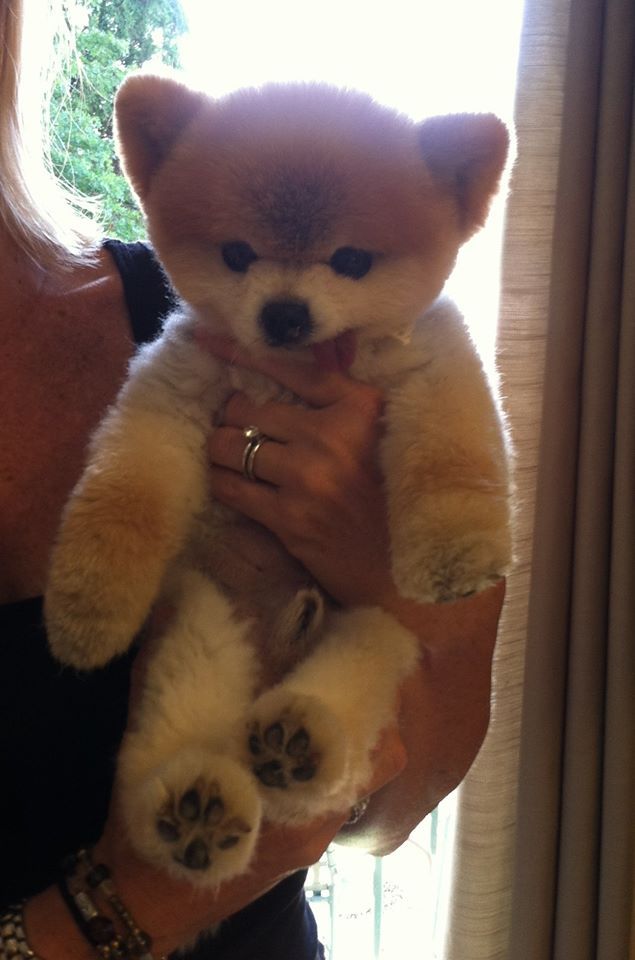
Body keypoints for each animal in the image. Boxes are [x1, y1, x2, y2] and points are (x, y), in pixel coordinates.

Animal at [47, 75, 516, 884]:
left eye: (351, 260)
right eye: (237, 254)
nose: (286, 313)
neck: (293, 374)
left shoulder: (433, 365)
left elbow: (452, 453)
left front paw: (458, 557)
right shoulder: (170, 401)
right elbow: (125, 498)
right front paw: (87, 610)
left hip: (375, 637)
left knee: (328, 761)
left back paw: (299, 744)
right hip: (205, 627)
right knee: (169, 768)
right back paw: (199, 813)